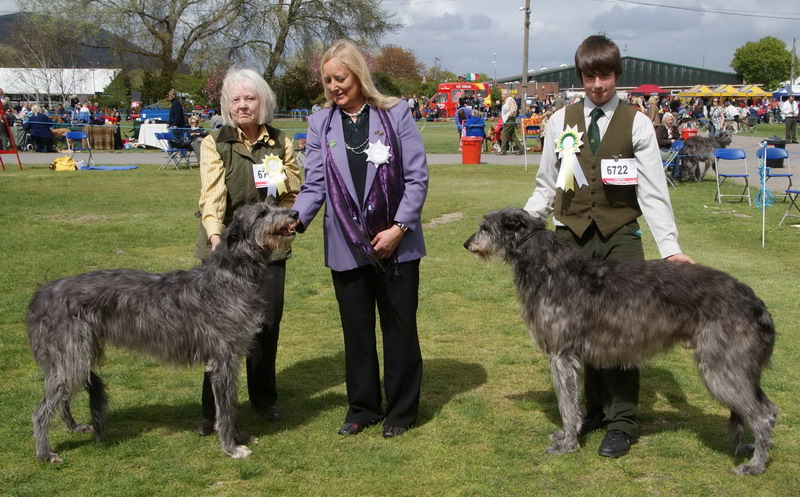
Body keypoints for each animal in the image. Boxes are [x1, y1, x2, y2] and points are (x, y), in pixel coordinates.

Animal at [27, 201, 300, 462]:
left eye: (273, 205)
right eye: (262, 213)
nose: (295, 213)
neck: (230, 277)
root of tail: (40, 295)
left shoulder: (230, 359)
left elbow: (230, 405)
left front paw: (239, 437)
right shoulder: (223, 360)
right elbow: (225, 409)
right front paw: (231, 448)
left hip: (76, 357)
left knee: (62, 399)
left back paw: (73, 427)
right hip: (72, 357)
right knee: (41, 410)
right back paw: (45, 453)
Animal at [466, 207, 780, 474]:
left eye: (484, 227)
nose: (467, 244)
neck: (548, 268)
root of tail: (756, 303)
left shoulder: (561, 356)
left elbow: (566, 405)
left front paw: (568, 444)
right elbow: (571, 404)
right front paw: (568, 435)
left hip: (721, 367)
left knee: (764, 415)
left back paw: (755, 466)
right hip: (738, 366)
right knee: (770, 409)